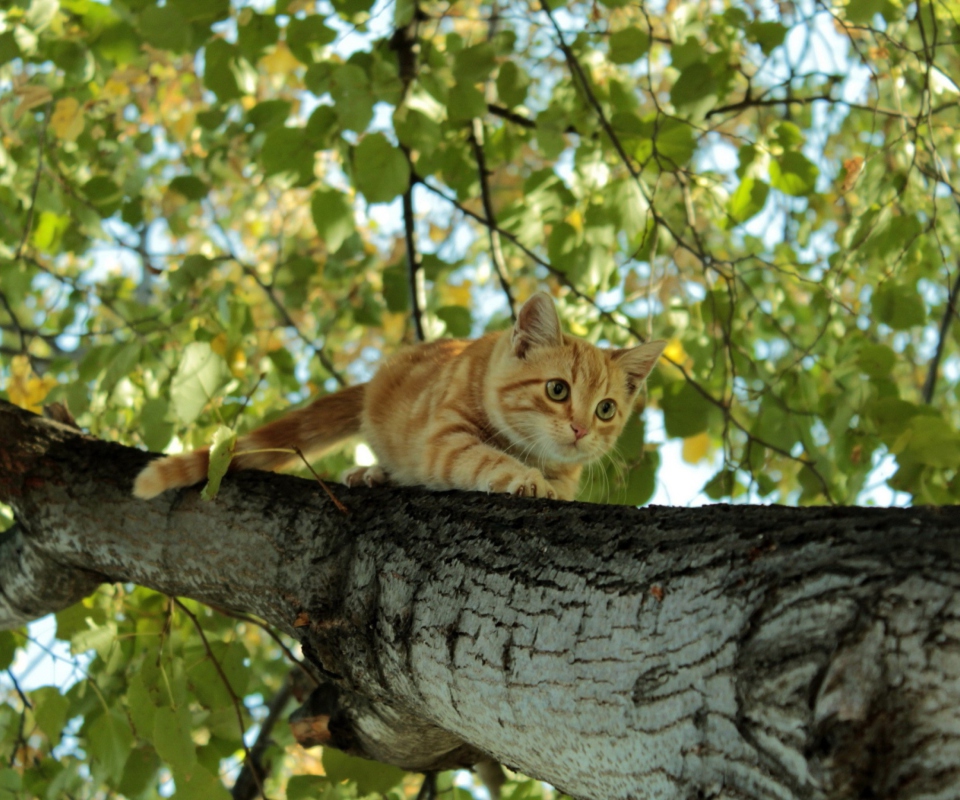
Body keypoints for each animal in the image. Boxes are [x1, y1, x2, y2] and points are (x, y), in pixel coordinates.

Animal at [131, 296, 664, 500]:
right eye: (557, 390)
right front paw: (527, 479)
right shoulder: (443, 438)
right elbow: (486, 458)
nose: (580, 429)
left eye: (606, 409)